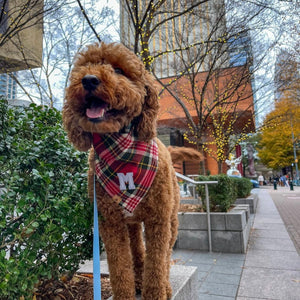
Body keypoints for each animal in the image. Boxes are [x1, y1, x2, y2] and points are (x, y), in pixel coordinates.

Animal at [61, 42, 200, 300]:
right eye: (85, 66)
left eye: (119, 70)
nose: (89, 80)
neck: (120, 149)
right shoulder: (110, 222)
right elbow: (119, 269)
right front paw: (128, 289)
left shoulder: (158, 220)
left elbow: (157, 264)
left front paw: (156, 291)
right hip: (133, 222)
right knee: (137, 248)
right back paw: (138, 280)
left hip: (171, 218)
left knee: (166, 255)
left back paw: (165, 285)